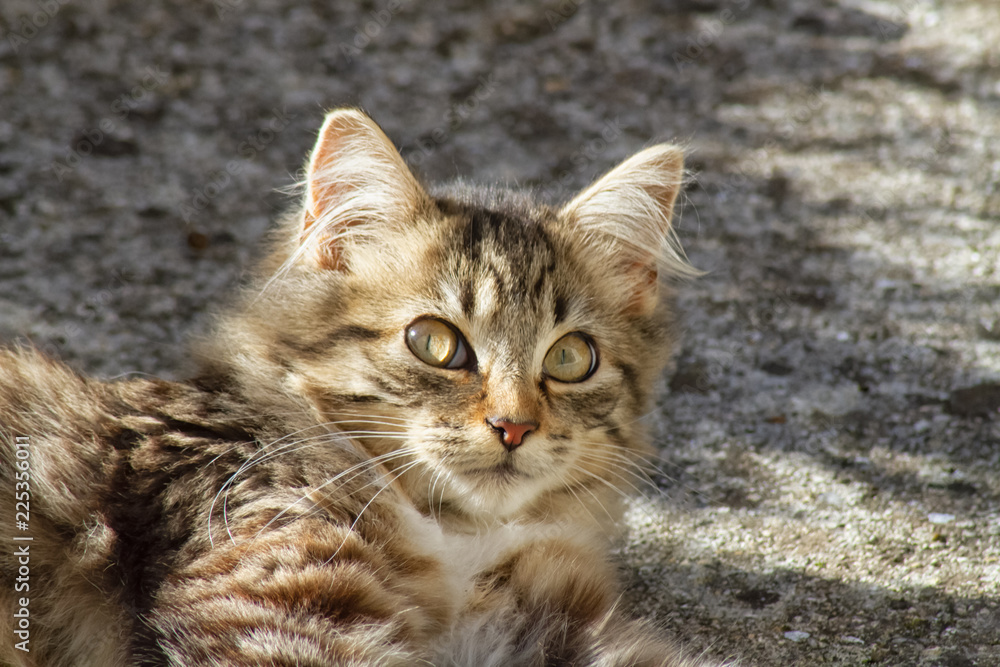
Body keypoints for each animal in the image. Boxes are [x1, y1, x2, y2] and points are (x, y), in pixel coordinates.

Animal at [1, 109, 720, 667]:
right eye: (434, 343)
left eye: (571, 358)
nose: (514, 426)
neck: (452, 538)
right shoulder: (270, 599)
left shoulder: (536, 613)